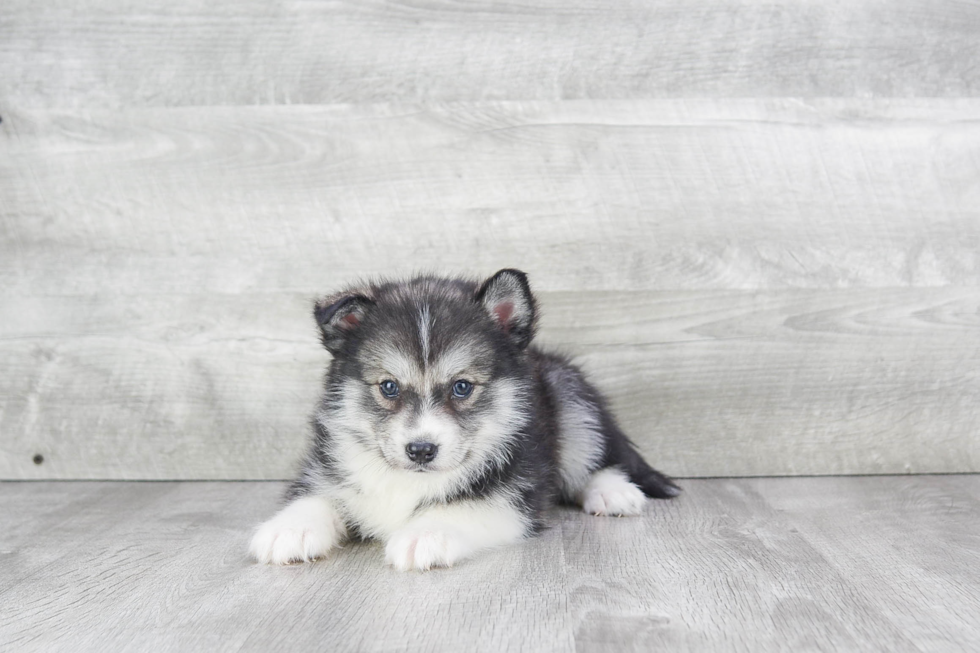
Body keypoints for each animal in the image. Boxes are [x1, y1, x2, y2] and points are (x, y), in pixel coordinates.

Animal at [249, 270, 676, 572]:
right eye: (389, 386)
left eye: (461, 387)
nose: (421, 450)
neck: (408, 482)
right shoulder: (330, 468)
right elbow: (318, 497)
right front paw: (291, 528)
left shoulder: (513, 496)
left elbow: (463, 505)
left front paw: (424, 534)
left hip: (571, 400)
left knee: (597, 457)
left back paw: (611, 492)